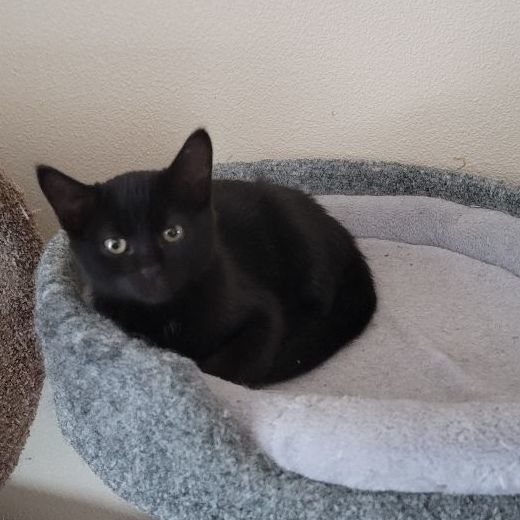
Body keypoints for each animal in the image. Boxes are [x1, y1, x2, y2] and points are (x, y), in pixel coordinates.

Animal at [37, 129, 376, 387]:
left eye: (173, 232)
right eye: (115, 245)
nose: (151, 269)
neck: (168, 314)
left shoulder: (263, 311)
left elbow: (223, 370)